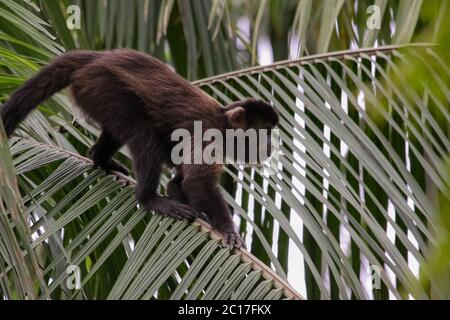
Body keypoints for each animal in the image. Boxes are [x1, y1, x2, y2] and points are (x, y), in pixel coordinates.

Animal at [0, 49, 278, 248]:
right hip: (102, 85)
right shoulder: (207, 134)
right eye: (264, 131)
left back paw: (101, 159)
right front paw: (227, 230)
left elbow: (179, 183)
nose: (270, 144)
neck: (223, 123)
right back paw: (148, 199)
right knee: (144, 134)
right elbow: (197, 181)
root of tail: (100, 56)